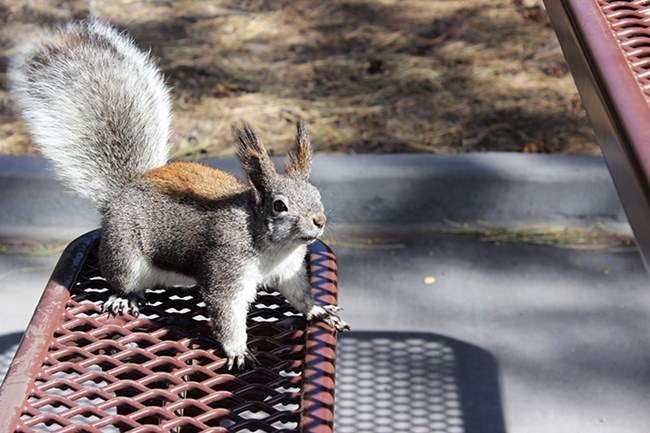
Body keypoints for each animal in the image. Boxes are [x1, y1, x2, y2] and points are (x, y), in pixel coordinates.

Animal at [7, 20, 346, 370]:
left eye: (317, 192)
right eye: (279, 205)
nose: (320, 221)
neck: (270, 245)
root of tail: (123, 192)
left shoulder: (290, 271)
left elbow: (299, 295)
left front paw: (318, 311)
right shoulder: (226, 270)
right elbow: (228, 314)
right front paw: (238, 350)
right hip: (123, 253)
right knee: (120, 279)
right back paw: (121, 297)